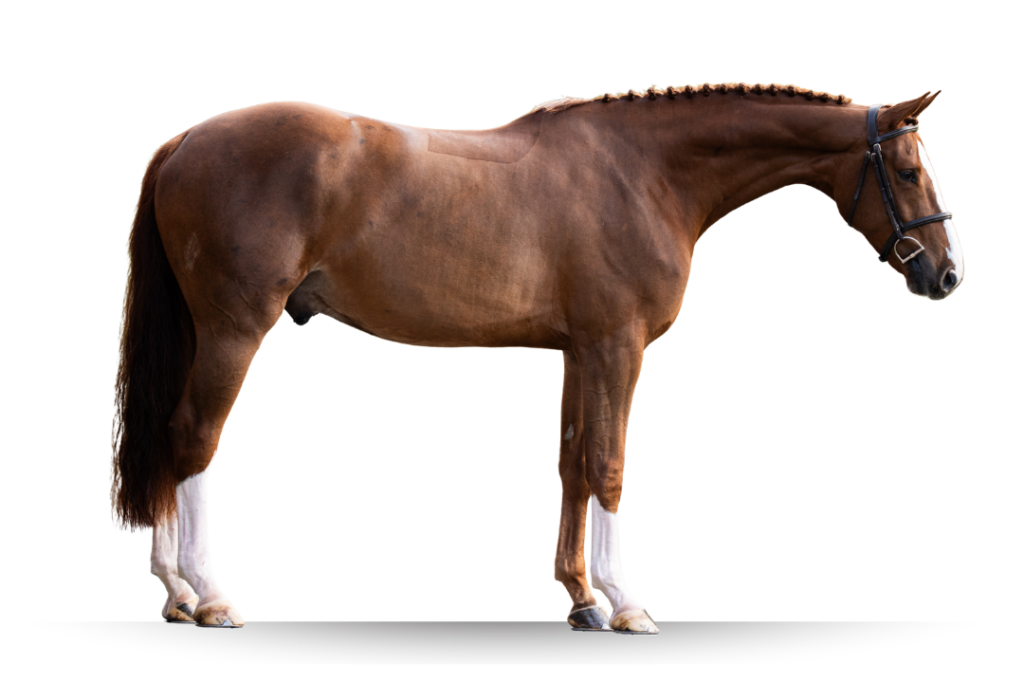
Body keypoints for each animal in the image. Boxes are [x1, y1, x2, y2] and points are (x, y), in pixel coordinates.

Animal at [110, 82, 965, 633]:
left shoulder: (582, 351)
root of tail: (184, 142)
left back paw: (174, 593)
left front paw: (582, 599)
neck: (645, 173)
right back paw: (207, 595)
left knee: (170, 439)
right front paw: (628, 604)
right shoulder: (617, 347)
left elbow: (574, 462)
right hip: (233, 330)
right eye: (909, 170)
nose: (948, 273)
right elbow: (610, 466)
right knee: (192, 439)